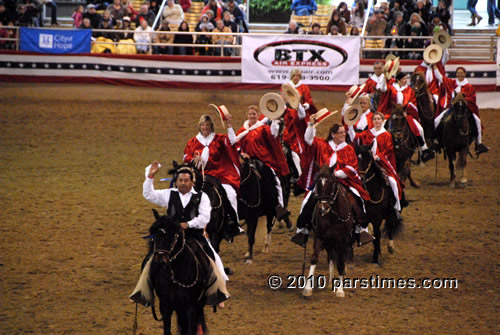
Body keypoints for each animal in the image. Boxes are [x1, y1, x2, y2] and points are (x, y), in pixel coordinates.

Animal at [302, 165, 354, 300]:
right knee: (331, 257)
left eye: (331, 182)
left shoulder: (343, 240)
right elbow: (314, 258)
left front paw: (340, 291)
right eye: (317, 182)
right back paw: (331, 281)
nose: (323, 208)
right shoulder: (320, 237)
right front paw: (307, 289)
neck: (332, 215)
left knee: (341, 258)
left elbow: (340, 262)